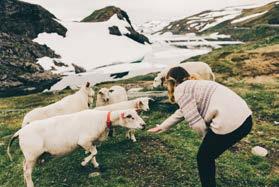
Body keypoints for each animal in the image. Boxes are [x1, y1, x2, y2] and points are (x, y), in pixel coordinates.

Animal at [7, 109, 145, 187]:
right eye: (131, 117)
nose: (143, 125)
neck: (103, 120)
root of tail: (19, 132)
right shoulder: (84, 141)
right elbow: (95, 151)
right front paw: (83, 163)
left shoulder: (90, 142)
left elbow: (93, 153)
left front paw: (95, 164)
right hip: (32, 155)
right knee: (27, 172)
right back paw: (30, 184)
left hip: (29, 156)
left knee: (23, 168)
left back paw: (25, 182)